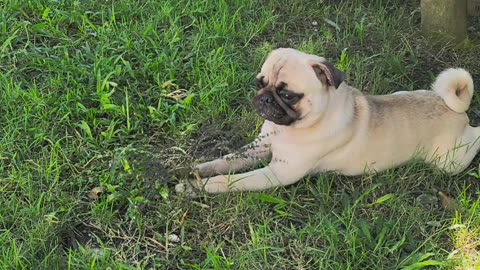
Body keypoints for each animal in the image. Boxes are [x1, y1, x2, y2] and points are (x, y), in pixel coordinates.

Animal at [174, 48, 478, 194]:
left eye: (288, 94)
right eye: (259, 83)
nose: (264, 98)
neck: (287, 130)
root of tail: (454, 109)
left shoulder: (277, 172)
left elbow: (231, 180)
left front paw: (197, 188)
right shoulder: (260, 147)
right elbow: (227, 160)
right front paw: (200, 170)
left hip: (449, 161)